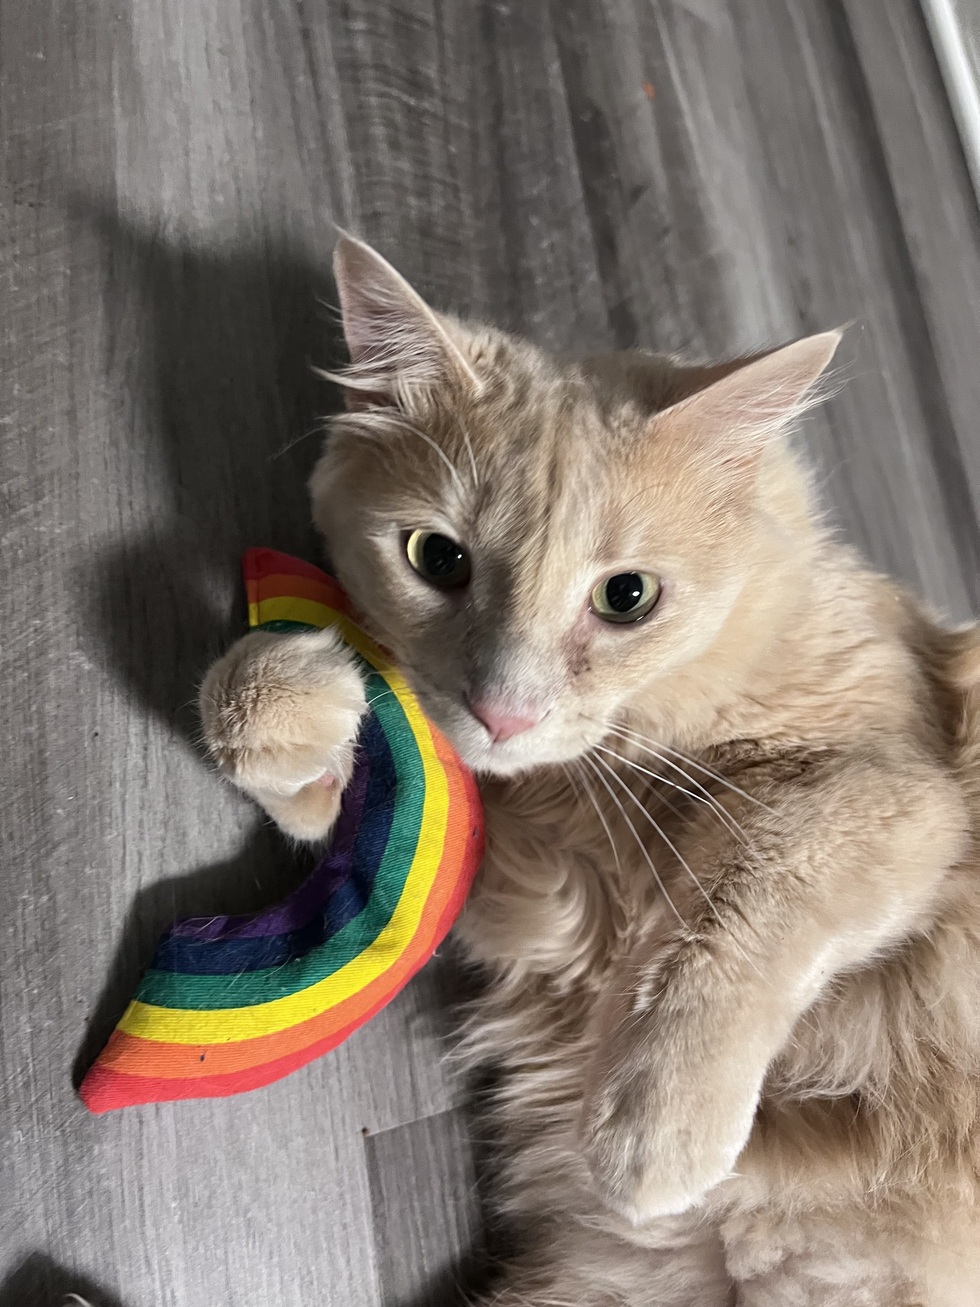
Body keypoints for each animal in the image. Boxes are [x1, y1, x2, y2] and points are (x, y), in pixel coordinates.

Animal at [199, 235, 980, 1305]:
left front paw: (656, 1122)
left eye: (628, 597)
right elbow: (278, 731)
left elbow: (747, 902)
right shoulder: (540, 893)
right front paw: (299, 697)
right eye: (435, 557)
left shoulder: (901, 799)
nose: (503, 711)